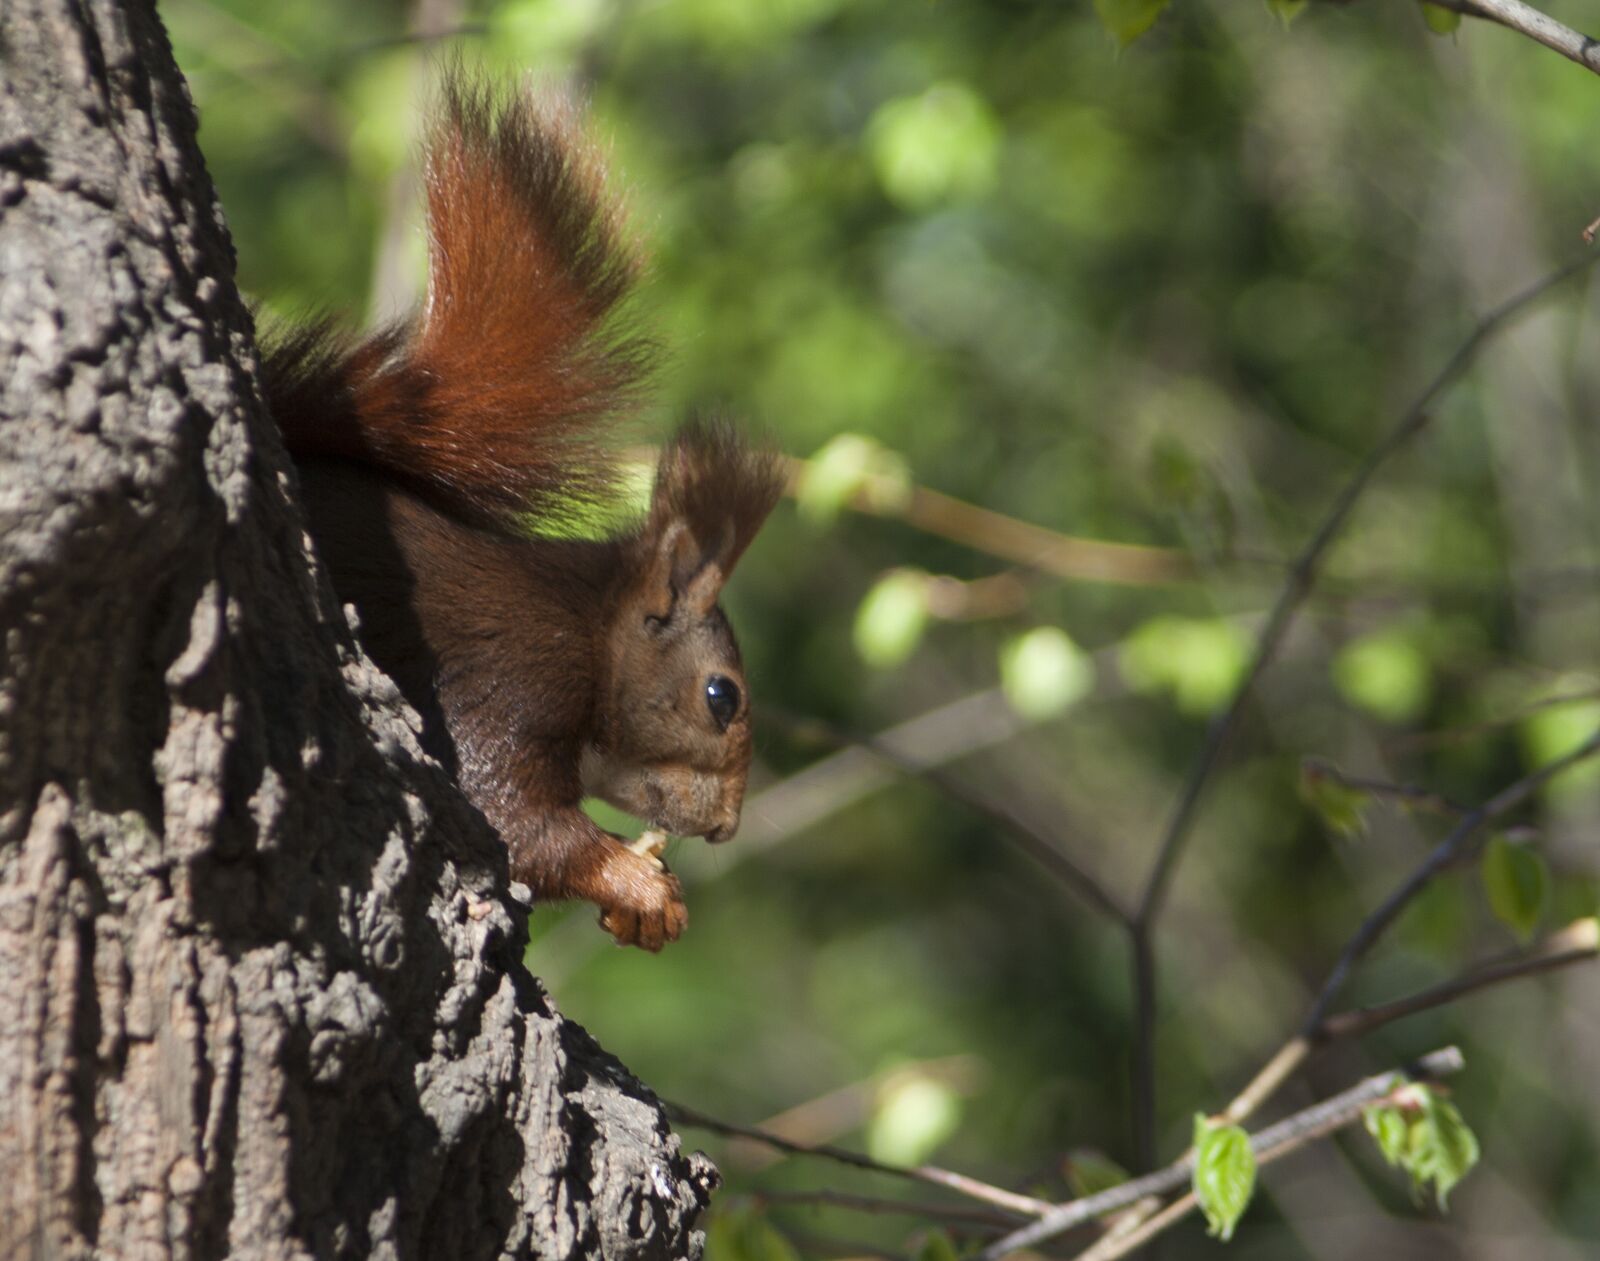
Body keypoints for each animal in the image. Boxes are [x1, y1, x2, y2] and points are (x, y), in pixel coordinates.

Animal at [261, 75, 783, 951]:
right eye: (722, 697)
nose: (727, 829)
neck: (589, 626)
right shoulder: (517, 674)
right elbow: (510, 817)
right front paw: (637, 882)